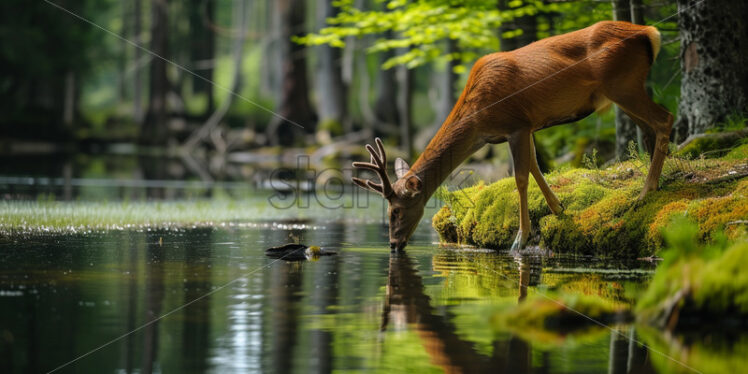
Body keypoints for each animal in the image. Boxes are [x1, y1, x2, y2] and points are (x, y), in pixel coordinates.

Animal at [354, 21, 676, 253]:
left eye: (395, 210)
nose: (393, 245)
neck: (478, 118)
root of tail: (650, 32)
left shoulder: (516, 124)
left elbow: (521, 177)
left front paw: (520, 239)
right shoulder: (529, 126)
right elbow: (535, 166)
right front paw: (558, 208)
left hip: (623, 85)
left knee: (665, 119)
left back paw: (646, 191)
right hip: (624, 91)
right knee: (650, 128)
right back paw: (655, 184)